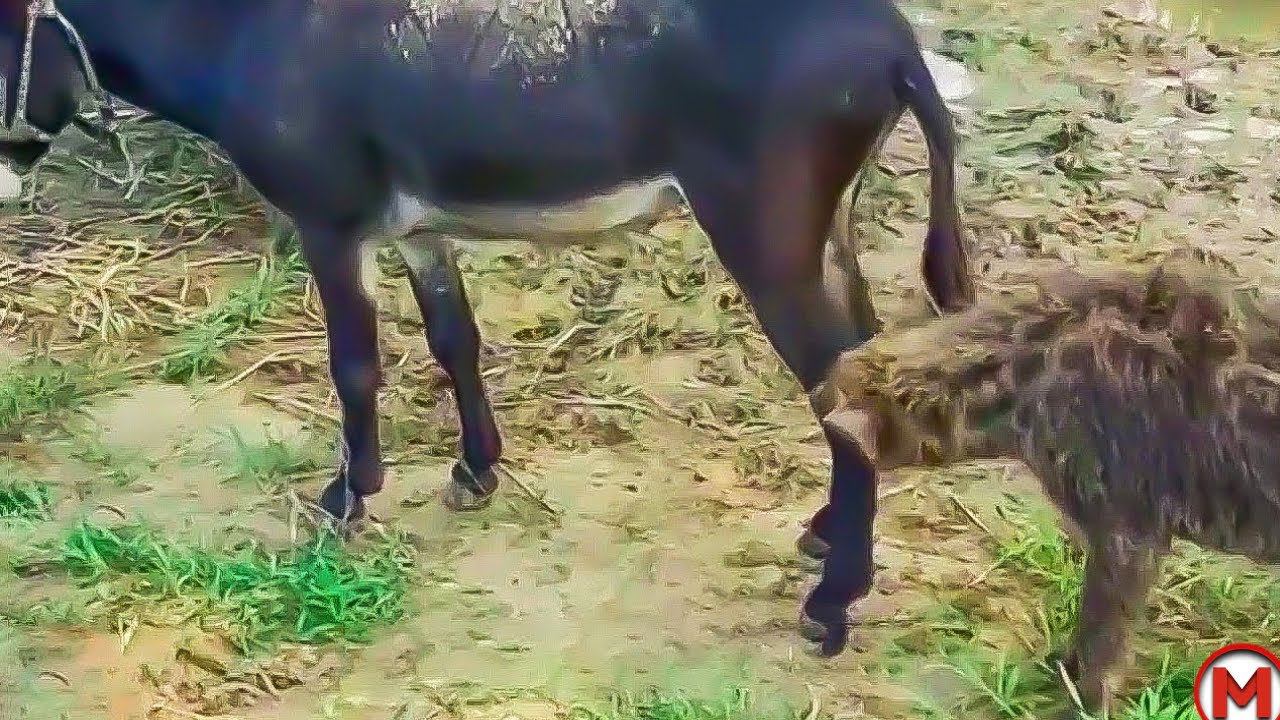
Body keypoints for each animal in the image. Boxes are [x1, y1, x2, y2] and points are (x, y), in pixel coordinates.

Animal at [0, 0, 975, 656]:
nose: (7, 181)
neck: (241, 31)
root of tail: (893, 42)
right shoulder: (420, 233)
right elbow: (453, 341)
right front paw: (475, 470)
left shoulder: (330, 223)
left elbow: (354, 363)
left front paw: (347, 499)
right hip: (826, 232)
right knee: (860, 375)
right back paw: (824, 535)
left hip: (765, 238)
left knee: (835, 397)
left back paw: (833, 604)